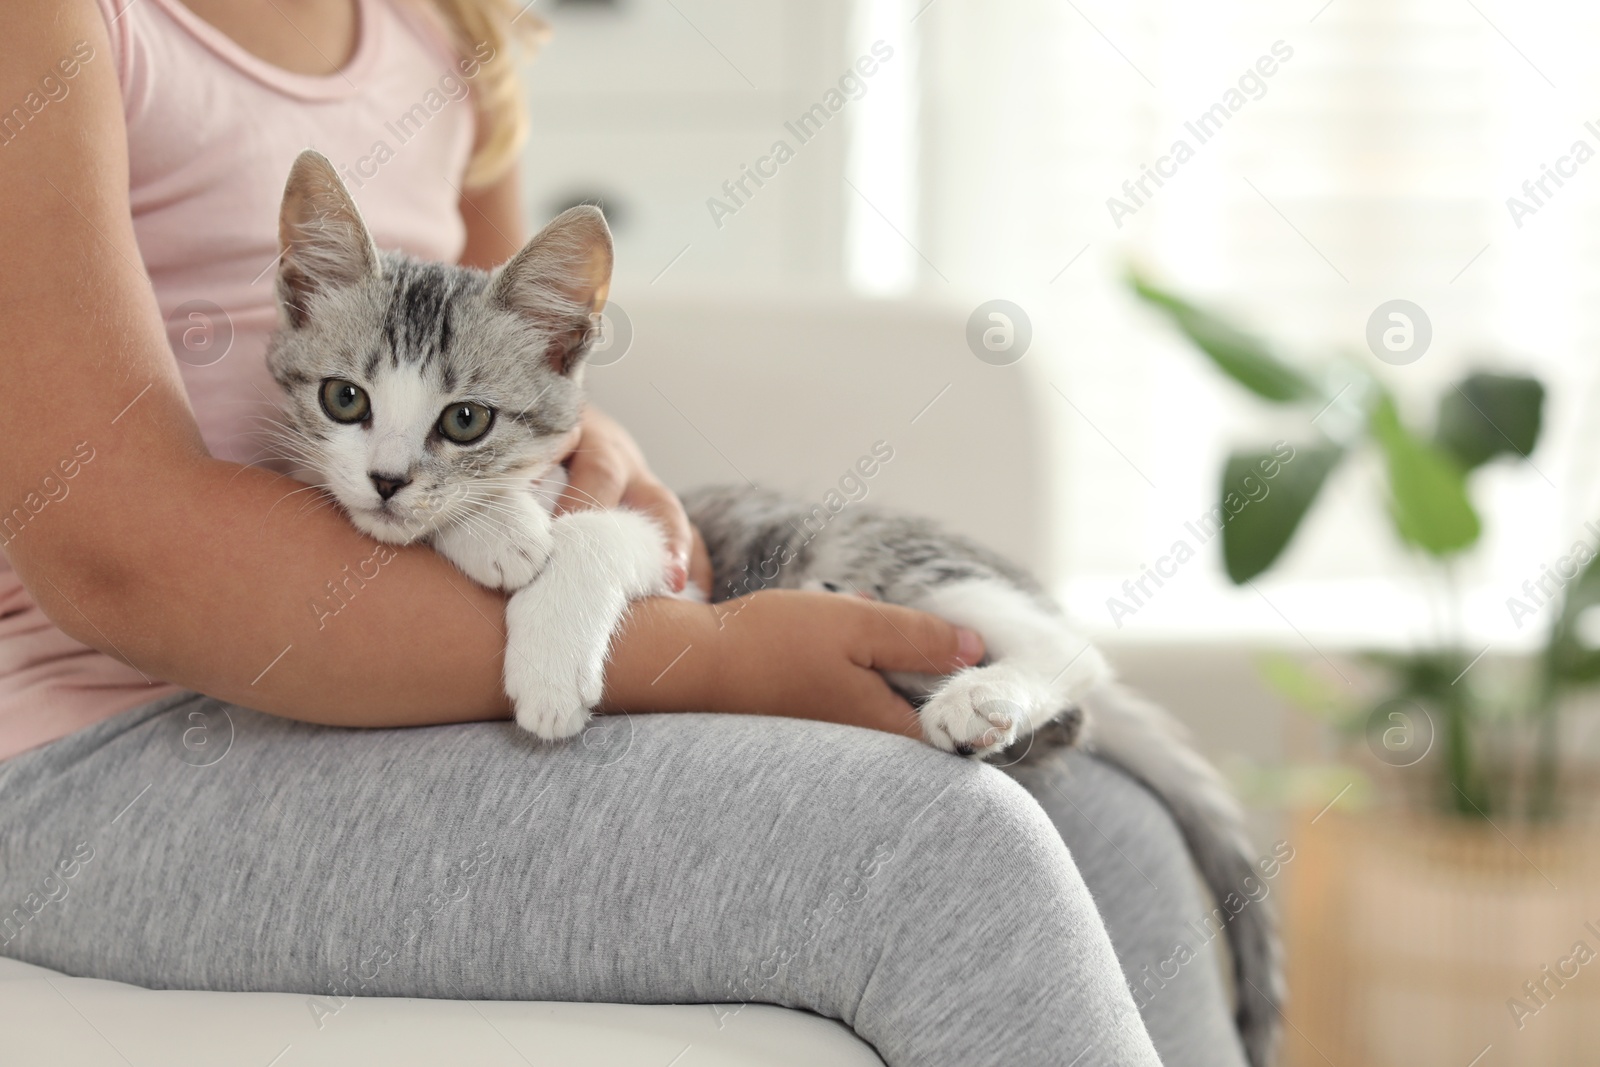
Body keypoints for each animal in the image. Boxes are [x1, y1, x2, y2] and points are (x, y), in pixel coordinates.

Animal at [265, 150, 1286, 1067]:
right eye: (345, 399)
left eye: (465, 419)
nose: (389, 479)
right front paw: (490, 531)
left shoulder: (674, 543)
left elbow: (594, 532)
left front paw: (539, 635)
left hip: (883, 555)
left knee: (1069, 651)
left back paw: (978, 695)